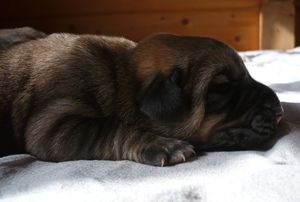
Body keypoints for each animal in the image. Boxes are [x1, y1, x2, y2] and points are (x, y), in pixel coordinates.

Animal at [0, 29, 282, 166]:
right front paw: (165, 146)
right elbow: (108, 128)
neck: (119, 75)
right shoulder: (54, 122)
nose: (279, 111)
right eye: (222, 87)